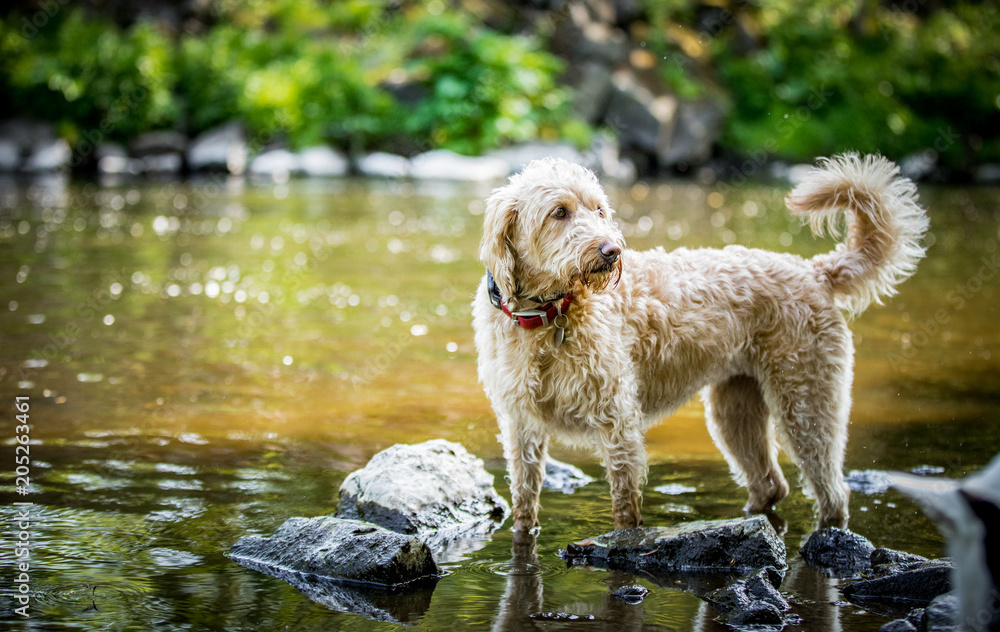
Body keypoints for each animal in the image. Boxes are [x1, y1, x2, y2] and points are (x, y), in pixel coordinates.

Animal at [472, 156, 924, 536]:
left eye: (598, 209)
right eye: (559, 212)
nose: (612, 250)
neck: (548, 316)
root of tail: (814, 271)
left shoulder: (619, 423)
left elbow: (624, 507)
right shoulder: (522, 427)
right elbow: (524, 501)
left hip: (807, 406)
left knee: (832, 493)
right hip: (735, 412)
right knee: (771, 486)